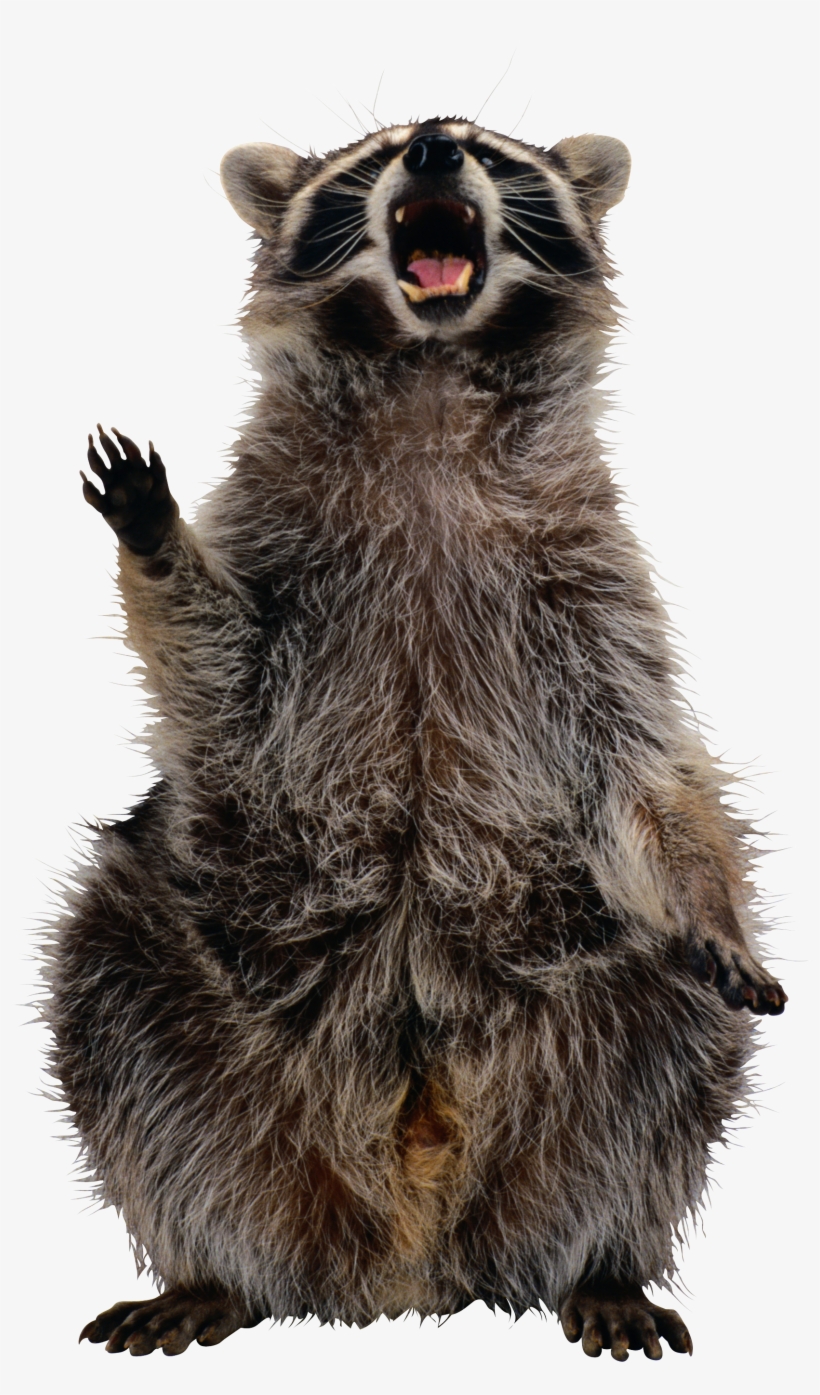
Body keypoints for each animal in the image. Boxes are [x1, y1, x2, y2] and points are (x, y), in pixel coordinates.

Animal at [46, 118, 786, 1362]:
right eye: (370, 159)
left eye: (497, 154)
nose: (437, 146)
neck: (429, 381)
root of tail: (404, 1256)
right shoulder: (282, 551)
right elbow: (217, 677)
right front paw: (156, 544)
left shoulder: (589, 584)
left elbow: (645, 764)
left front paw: (709, 897)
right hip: (191, 990)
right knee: (108, 988)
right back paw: (208, 1263)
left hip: (595, 1006)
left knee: (670, 1047)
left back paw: (608, 1257)